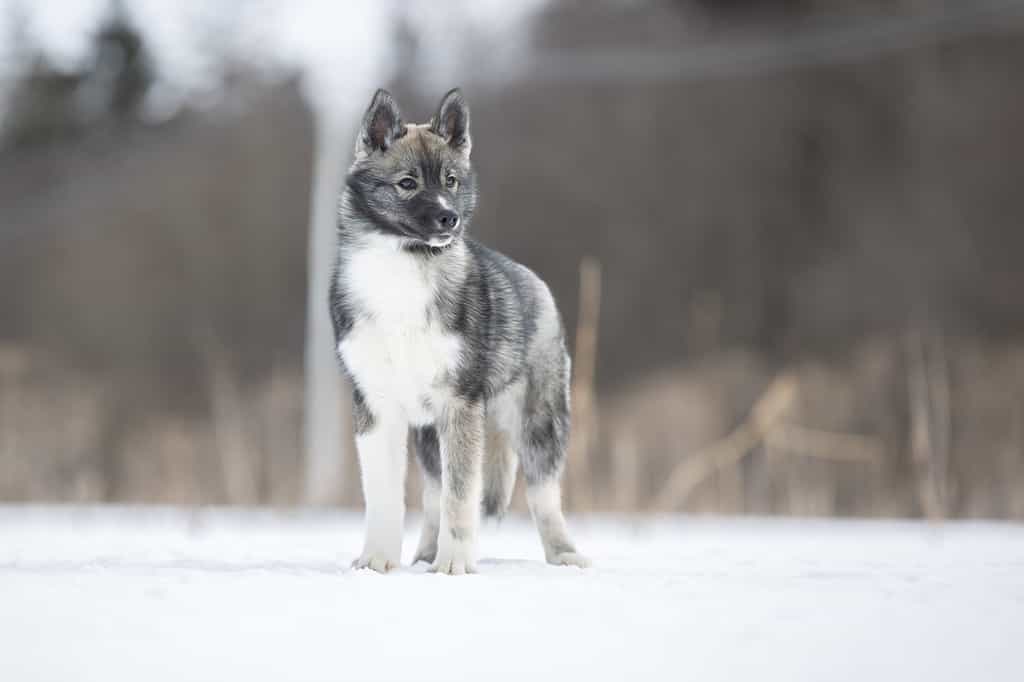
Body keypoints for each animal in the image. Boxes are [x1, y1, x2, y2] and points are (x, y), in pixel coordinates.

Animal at [331, 87, 589, 569]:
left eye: (451, 181)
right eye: (408, 183)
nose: (449, 218)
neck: (402, 270)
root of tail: (533, 280)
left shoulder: (460, 406)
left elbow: (461, 494)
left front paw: (455, 565)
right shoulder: (376, 408)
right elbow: (384, 496)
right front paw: (377, 560)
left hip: (538, 424)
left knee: (544, 495)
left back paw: (563, 554)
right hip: (431, 435)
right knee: (433, 492)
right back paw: (423, 554)